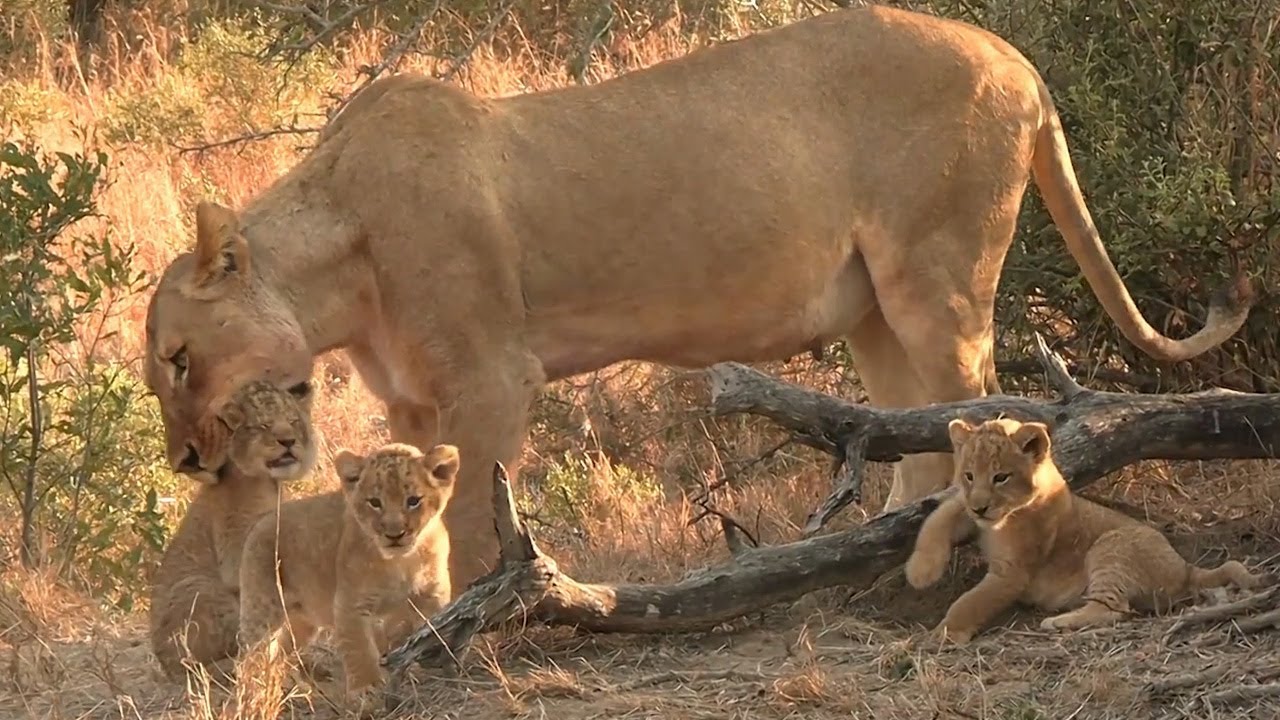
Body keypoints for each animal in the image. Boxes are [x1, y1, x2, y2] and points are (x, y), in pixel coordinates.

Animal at [141, 6, 1252, 595]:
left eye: (178, 359)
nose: (187, 462)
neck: (337, 256)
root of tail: (1016, 55)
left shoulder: (492, 377)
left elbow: (475, 523)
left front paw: (470, 619)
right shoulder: (413, 398)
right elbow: (418, 510)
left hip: (935, 281)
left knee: (975, 415)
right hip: (871, 310)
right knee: (917, 429)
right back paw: (865, 548)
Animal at [148, 379, 315, 681]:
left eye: (293, 421)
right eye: (264, 425)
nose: (288, 441)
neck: (269, 482)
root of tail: (164, 666)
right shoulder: (237, 548)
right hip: (202, 590)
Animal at [235, 442, 457, 701]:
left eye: (413, 500)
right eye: (374, 502)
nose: (394, 535)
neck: (401, 561)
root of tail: (263, 519)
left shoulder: (432, 594)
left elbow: (438, 625)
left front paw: (443, 663)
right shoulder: (350, 604)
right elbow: (360, 649)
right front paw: (367, 688)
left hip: (304, 620)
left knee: (281, 649)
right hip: (262, 608)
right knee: (250, 655)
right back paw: (251, 691)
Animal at [904, 417, 1265, 644]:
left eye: (1000, 477)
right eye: (968, 475)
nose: (980, 507)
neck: (1001, 519)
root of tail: (1186, 567)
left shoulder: (1013, 571)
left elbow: (971, 601)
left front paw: (943, 635)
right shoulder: (967, 512)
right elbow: (938, 517)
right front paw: (921, 573)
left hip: (1112, 547)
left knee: (1113, 610)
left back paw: (1057, 621)